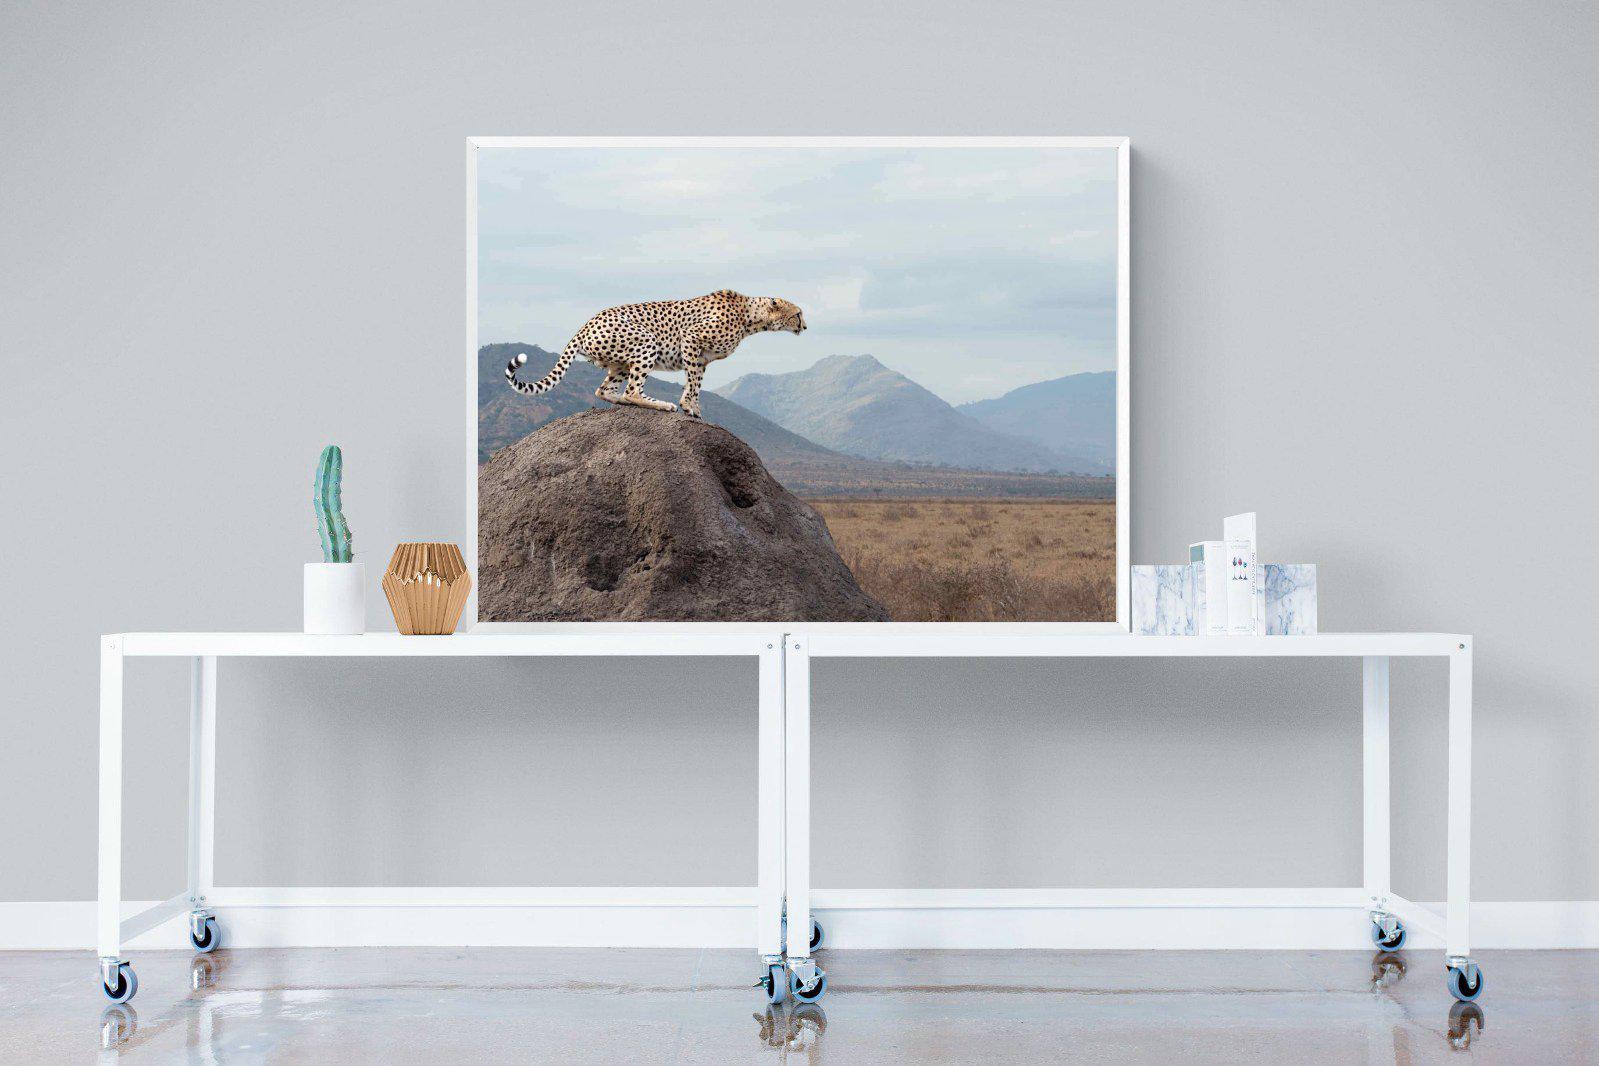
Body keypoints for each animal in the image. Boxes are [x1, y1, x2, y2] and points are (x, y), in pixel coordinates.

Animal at [505, 290, 806, 420]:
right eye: (798, 313)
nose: (805, 326)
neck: (749, 317)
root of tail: (586, 324)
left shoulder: (702, 358)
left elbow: (696, 383)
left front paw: (695, 408)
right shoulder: (691, 339)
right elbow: (692, 383)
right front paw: (686, 406)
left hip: (619, 363)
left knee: (605, 390)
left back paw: (624, 402)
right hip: (646, 342)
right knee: (632, 390)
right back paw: (660, 404)